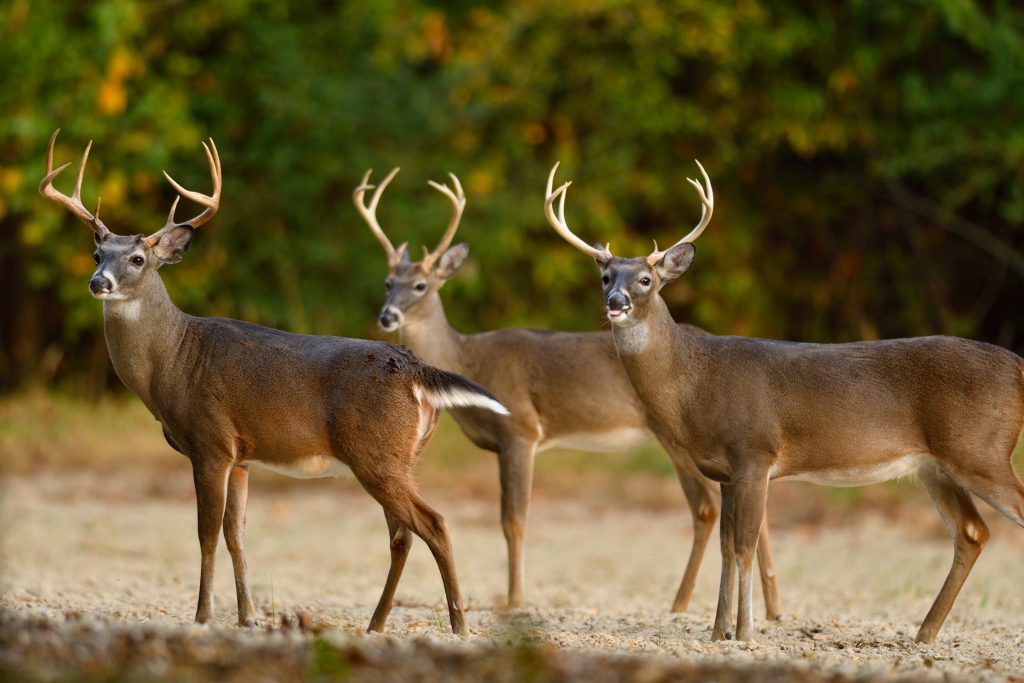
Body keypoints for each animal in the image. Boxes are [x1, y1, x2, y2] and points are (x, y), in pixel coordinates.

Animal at [38, 131, 512, 638]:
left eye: (138, 258)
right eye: (96, 254)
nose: (98, 282)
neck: (172, 360)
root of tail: (414, 367)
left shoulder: (210, 442)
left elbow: (206, 534)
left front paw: (202, 615)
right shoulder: (242, 456)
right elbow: (236, 534)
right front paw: (247, 616)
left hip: (376, 453)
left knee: (434, 522)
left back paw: (458, 624)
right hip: (401, 457)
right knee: (402, 534)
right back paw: (376, 623)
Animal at [352, 166, 782, 618]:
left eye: (420, 286)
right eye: (387, 282)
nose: (387, 316)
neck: (468, 358)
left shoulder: (521, 430)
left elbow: (514, 520)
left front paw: (515, 600)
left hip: (677, 436)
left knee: (709, 507)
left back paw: (692, 604)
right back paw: (759, 607)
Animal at [548, 158, 1024, 643]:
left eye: (646, 279)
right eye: (605, 277)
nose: (616, 302)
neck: (693, 384)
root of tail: (1018, 366)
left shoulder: (755, 454)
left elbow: (744, 546)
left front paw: (744, 632)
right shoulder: (725, 470)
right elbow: (726, 547)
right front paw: (718, 632)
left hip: (981, 450)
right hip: (937, 466)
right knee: (972, 532)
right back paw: (923, 634)